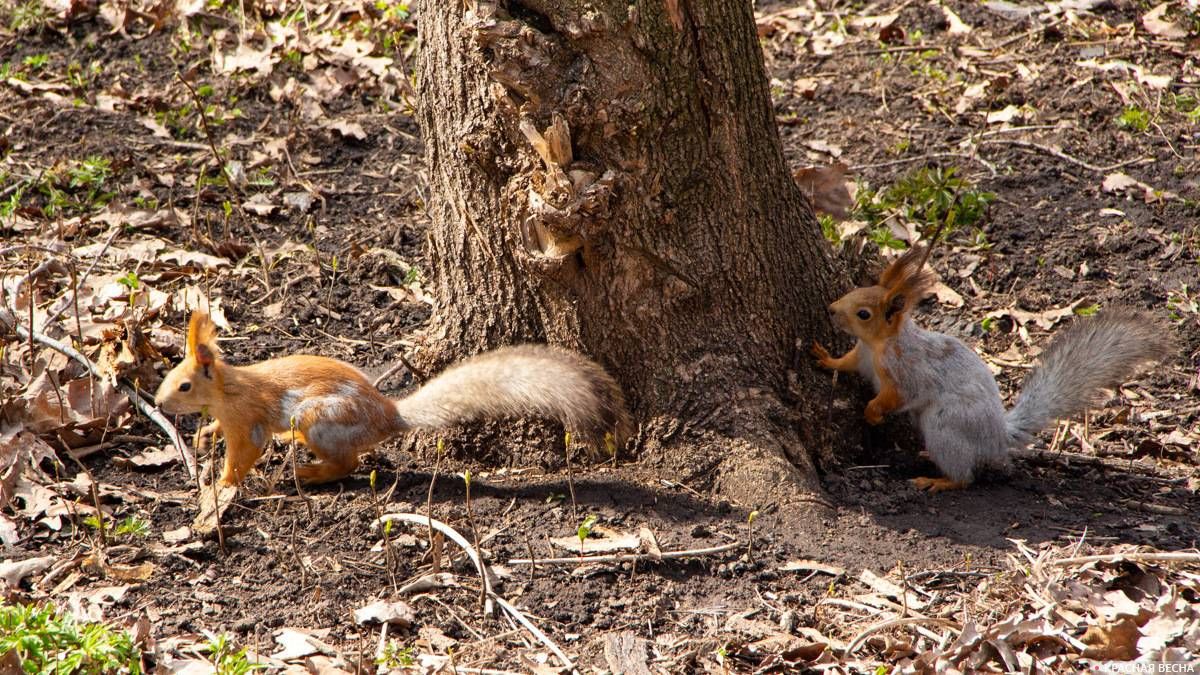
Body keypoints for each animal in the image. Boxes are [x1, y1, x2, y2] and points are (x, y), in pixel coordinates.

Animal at [152, 309, 628, 482]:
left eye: (184, 385)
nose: (157, 404)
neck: (228, 386)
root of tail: (390, 416)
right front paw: (203, 437)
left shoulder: (246, 419)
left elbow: (245, 453)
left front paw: (221, 488)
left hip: (320, 418)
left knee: (347, 465)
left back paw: (311, 474)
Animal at [811, 243, 1166, 492]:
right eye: (854, 290)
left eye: (864, 314)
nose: (830, 309)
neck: (877, 346)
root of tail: (997, 438)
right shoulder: (860, 356)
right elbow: (846, 363)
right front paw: (824, 357)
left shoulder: (906, 370)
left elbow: (896, 396)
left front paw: (872, 412)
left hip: (946, 426)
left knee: (965, 476)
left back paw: (939, 480)